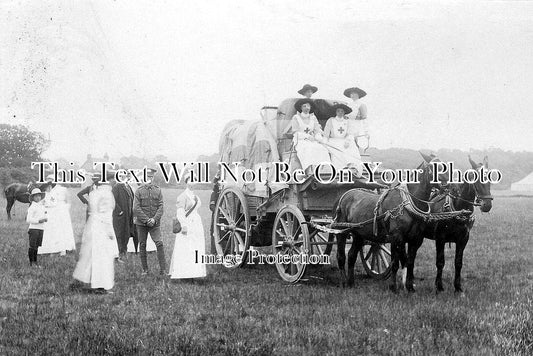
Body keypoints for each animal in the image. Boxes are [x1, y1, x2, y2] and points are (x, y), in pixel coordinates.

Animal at [332, 153, 444, 292]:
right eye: (435, 167)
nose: (452, 184)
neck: (407, 204)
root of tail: (343, 196)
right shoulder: (396, 237)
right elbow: (396, 262)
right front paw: (394, 287)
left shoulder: (415, 239)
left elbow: (409, 262)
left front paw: (409, 287)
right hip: (341, 232)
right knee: (341, 257)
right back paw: (343, 281)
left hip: (359, 234)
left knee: (352, 255)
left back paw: (351, 283)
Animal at [416, 154, 494, 294]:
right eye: (476, 179)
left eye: (489, 179)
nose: (487, 205)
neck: (457, 209)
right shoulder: (440, 239)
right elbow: (440, 262)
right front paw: (439, 286)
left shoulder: (463, 239)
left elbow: (458, 263)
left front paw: (458, 287)